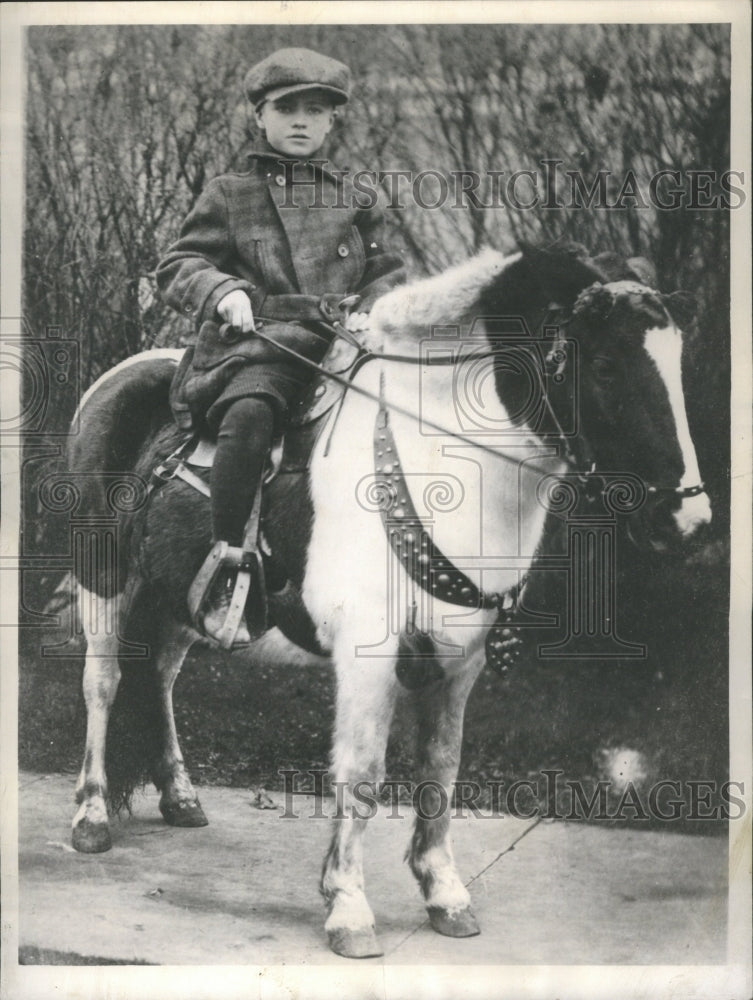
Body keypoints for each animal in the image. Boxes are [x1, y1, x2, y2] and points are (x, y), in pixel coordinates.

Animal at [64, 246, 712, 956]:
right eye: (604, 365)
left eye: (677, 365)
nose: (689, 520)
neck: (438, 467)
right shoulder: (367, 659)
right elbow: (363, 774)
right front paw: (348, 906)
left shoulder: (460, 662)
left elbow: (441, 769)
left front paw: (443, 892)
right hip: (104, 581)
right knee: (103, 683)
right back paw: (90, 815)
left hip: (182, 597)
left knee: (159, 678)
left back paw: (181, 797)